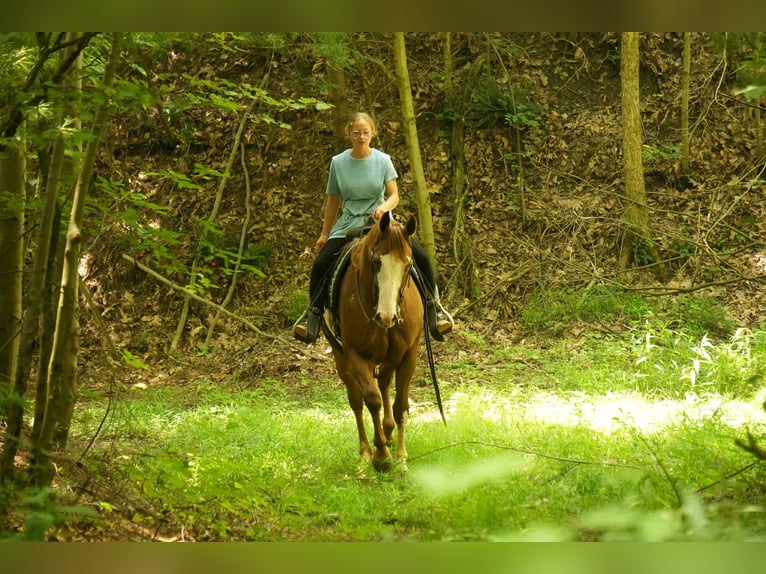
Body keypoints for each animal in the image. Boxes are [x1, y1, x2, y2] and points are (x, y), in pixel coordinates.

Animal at [322, 211, 424, 472]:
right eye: (376, 262)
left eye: (409, 265)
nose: (386, 317)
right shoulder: (356, 355)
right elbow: (372, 400)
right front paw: (381, 455)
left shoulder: (409, 354)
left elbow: (400, 406)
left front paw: (401, 458)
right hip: (342, 359)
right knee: (357, 402)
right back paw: (366, 453)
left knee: (385, 383)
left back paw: (388, 433)